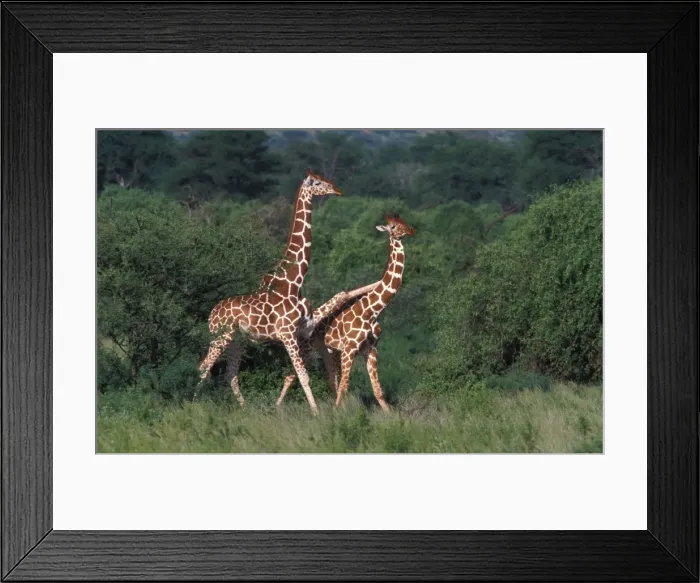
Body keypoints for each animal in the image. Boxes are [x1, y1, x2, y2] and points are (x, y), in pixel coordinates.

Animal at [197, 169, 345, 414]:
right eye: (316, 182)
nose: (337, 189)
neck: (294, 282)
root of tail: (211, 315)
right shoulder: (287, 334)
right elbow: (303, 375)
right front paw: (316, 413)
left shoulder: (302, 333)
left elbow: (300, 373)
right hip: (221, 336)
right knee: (204, 367)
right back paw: (194, 403)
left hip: (236, 340)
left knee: (229, 373)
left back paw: (244, 408)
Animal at [276, 213, 416, 411]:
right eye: (394, 227)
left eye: (404, 221)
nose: (411, 231)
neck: (373, 310)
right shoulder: (349, 348)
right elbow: (345, 383)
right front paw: (338, 412)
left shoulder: (370, 348)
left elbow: (377, 389)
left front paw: (390, 415)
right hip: (306, 346)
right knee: (291, 376)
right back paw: (277, 407)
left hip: (327, 350)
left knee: (329, 378)